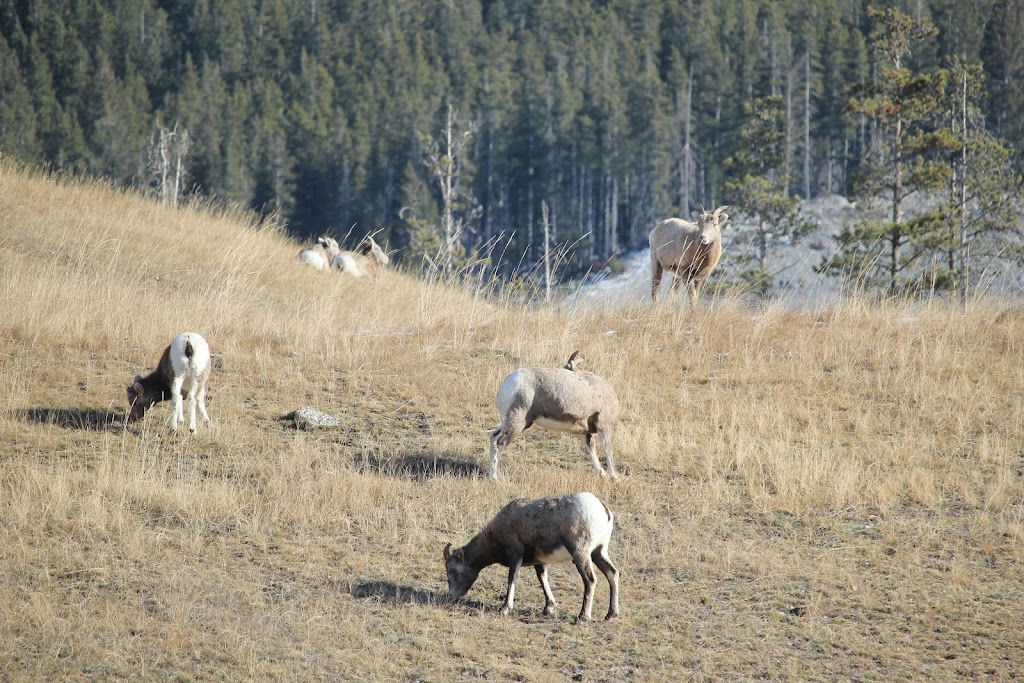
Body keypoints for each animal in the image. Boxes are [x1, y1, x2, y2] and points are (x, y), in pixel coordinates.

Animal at [440, 493, 614, 622]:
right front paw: (548, 608)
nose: (451, 597)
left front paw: (505, 609)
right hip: (598, 553)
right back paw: (610, 614)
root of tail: (603, 510)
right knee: (613, 573)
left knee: (590, 580)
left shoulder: (515, 556)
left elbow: (512, 579)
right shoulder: (539, 562)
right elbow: (542, 579)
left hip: (580, 554)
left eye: (453, 571)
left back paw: (583, 616)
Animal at [489, 352, 622, 481]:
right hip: (517, 422)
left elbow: (591, 447)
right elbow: (607, 450)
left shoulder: (583, 432)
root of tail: (508, 382)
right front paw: (615, 477)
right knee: (500, 442)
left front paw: (602, 474)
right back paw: (495, 478)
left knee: (493, 436)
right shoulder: (604, 427)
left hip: (512, 421)